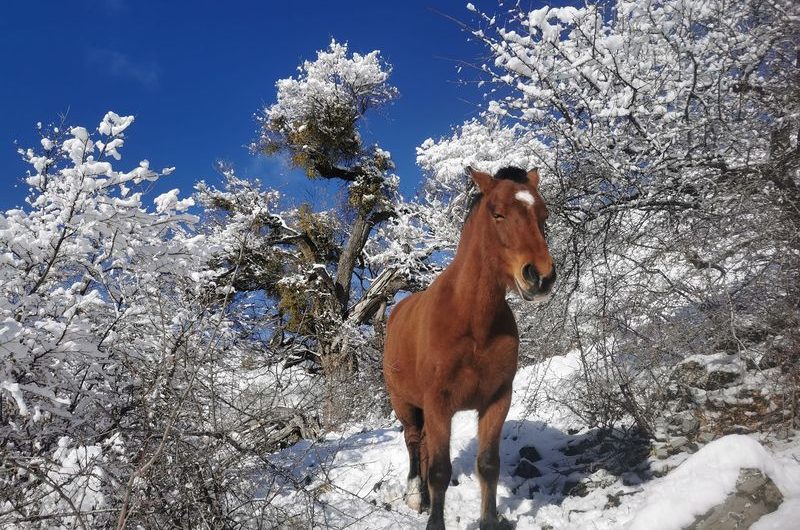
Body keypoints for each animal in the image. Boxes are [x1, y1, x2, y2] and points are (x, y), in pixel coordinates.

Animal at [384, 166, 552, 528]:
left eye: (543, 215)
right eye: (497, 214)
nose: (541, 276)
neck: (472, 323)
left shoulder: (496, 400)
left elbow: (488, 464)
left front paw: (489, 521)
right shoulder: (437, 405)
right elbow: (439, 470)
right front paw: (435, 521)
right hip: (405, 405)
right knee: (413, 444)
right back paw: (416, 496)